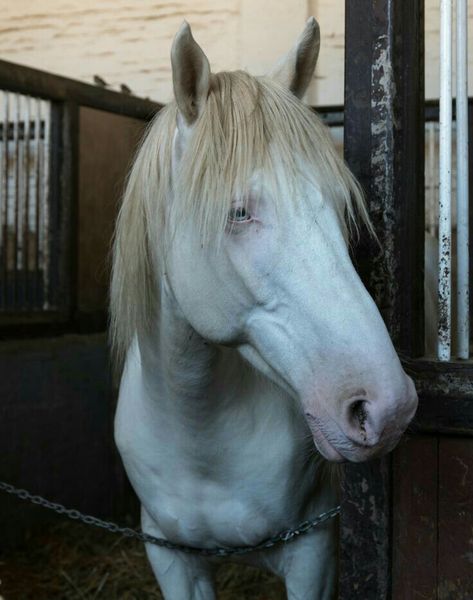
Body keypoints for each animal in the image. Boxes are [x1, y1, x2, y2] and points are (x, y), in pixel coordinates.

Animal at [110, 18, 416, 600]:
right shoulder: (171, 558)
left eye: (340, 208)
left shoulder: (312, 554)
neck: (200, 438)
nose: (386, 408)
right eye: (239, 213)